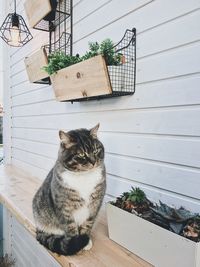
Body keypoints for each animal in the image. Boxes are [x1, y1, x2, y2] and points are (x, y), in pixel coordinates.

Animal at [32, 124, 106, 256]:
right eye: (81, 155)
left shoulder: (95, 204)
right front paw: (76, 243)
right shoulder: (64, 207)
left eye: (96, 150)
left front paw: (85, 241)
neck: (84, 177)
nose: (93, 162)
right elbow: (71, 228)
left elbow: (87, 224)